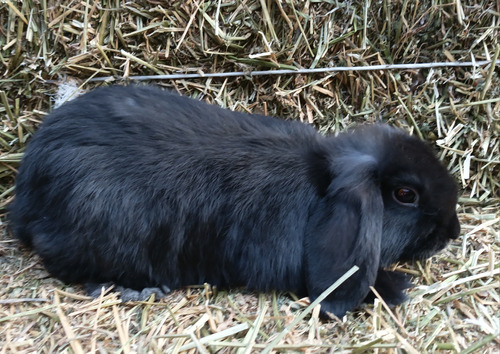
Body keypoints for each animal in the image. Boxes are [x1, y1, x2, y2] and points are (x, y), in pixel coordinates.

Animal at [8, 85, 460, 318]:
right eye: (405, 195)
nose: (451, 233)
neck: (320, 187)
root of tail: (27, 193)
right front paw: (397, 287)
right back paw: (139, 290)